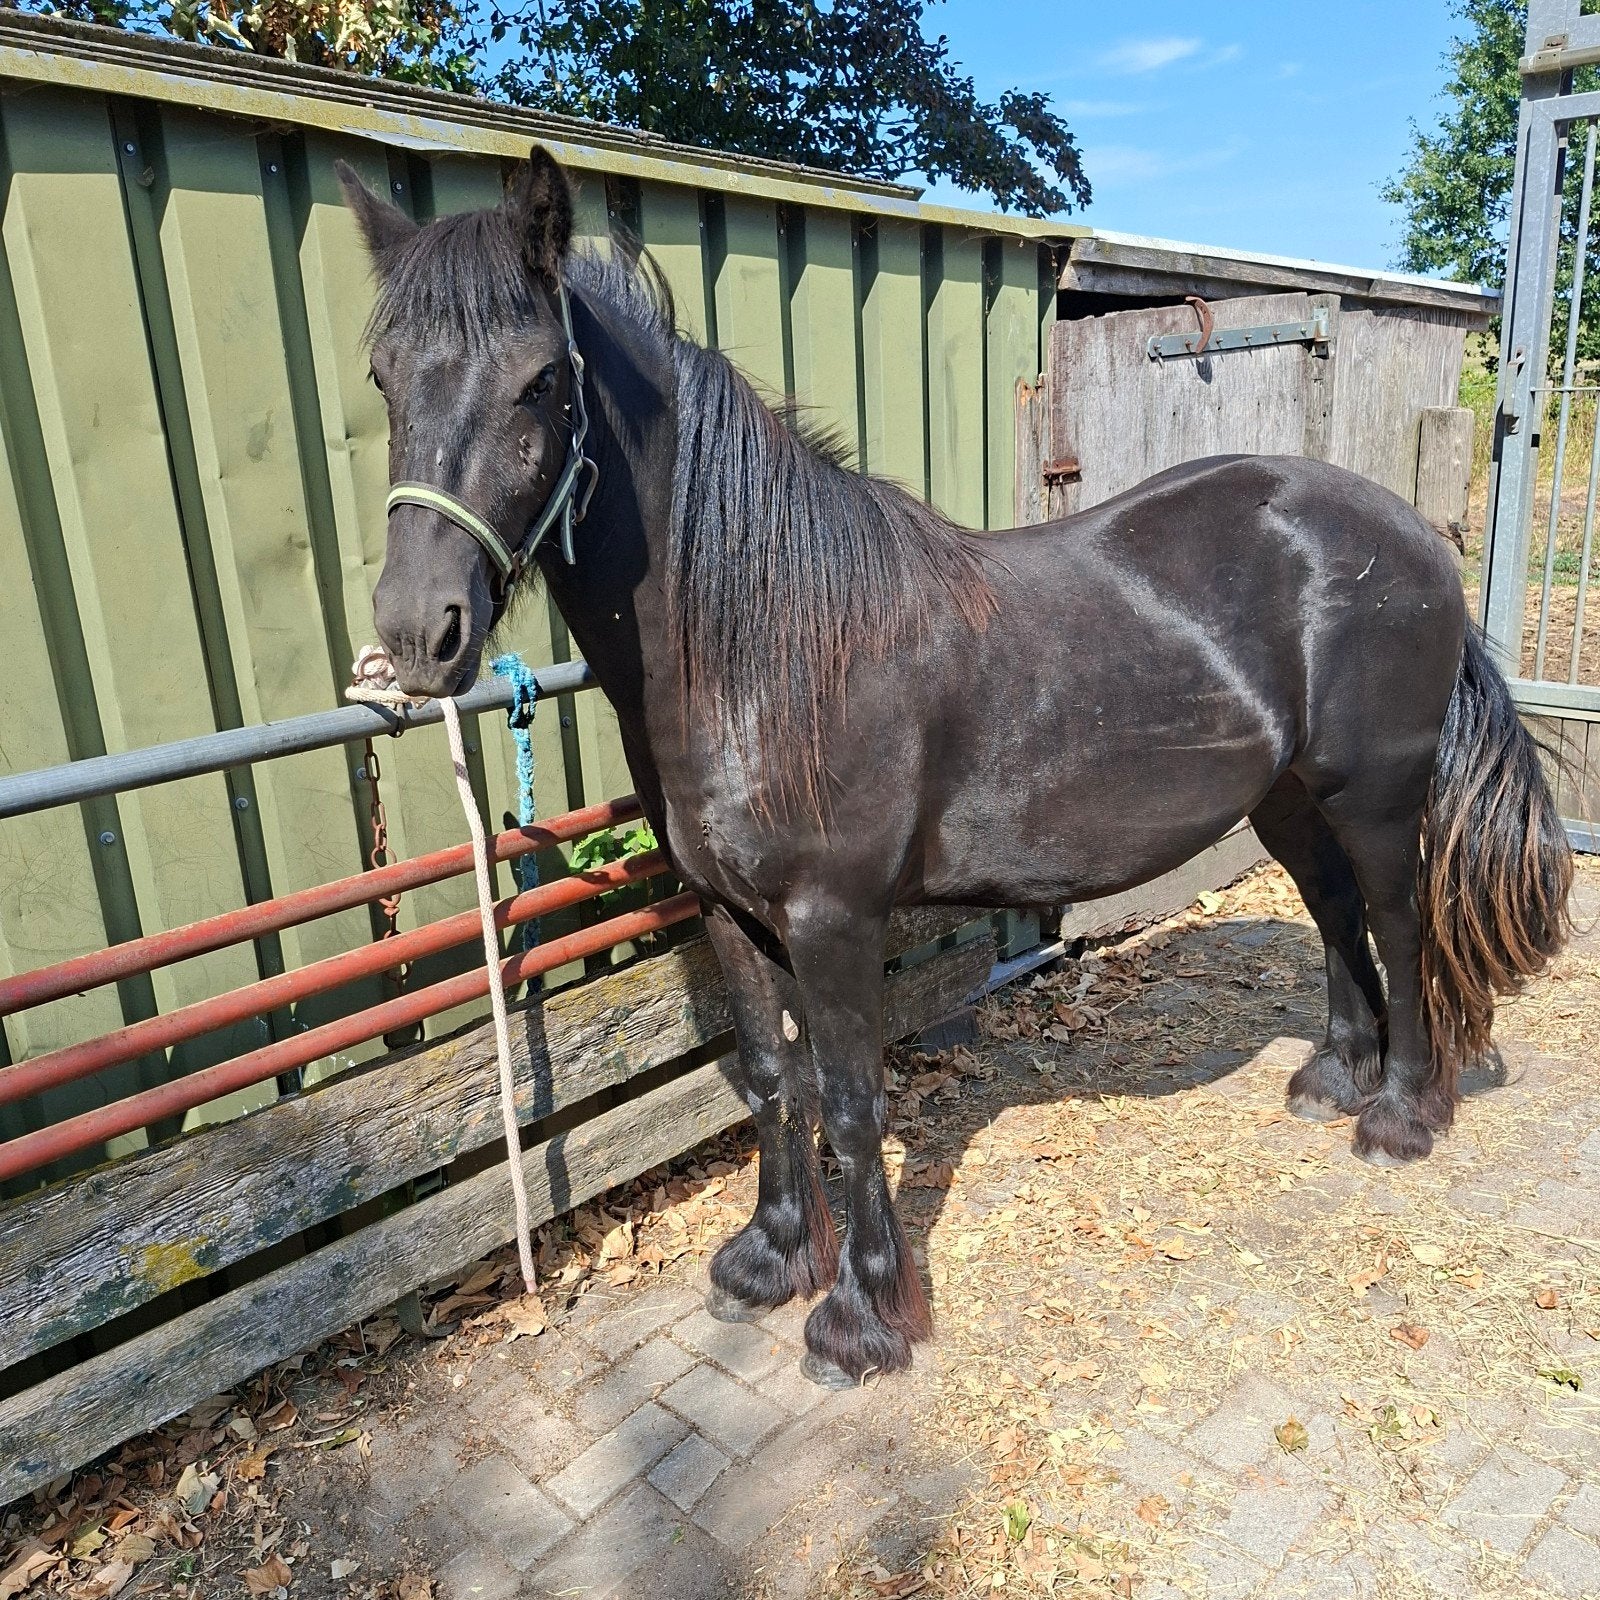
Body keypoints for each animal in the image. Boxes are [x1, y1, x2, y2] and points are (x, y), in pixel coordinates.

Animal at [338, 146, 1573, 1387]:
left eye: (541, 379)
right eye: (385, 380)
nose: (417, 632)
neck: (765, 645)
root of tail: (1407, 533)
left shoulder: (833, 918)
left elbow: (849, 1102)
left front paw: (861, 1316)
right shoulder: (725, 911)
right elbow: (769, 1078)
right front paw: (768, 1259)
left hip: (1375, 796)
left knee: (1400, 922)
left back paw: (1401, 1114)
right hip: (1282, 797)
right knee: (1330, 911)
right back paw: (1334, 1076)